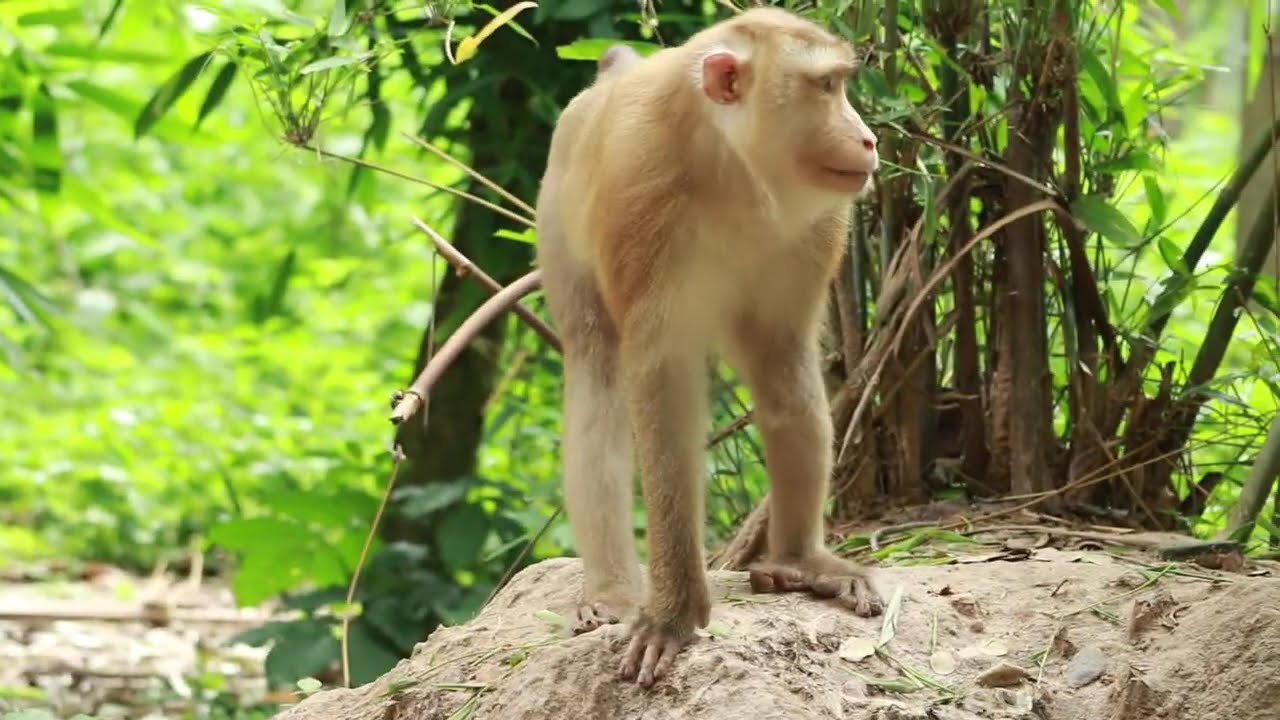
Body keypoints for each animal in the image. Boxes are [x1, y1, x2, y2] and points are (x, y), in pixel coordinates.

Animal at [534, 6, 884, 688]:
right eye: (827, 87)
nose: (868, 139)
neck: (734, 168)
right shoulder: (644, 202)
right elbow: (661, 386)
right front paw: (673, 612)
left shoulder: (819, 225)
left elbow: (782, 356)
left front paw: (799, 561)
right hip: (557, 213)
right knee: (597, 373)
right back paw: (611, 589)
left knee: (780, 375)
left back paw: (797, 561)